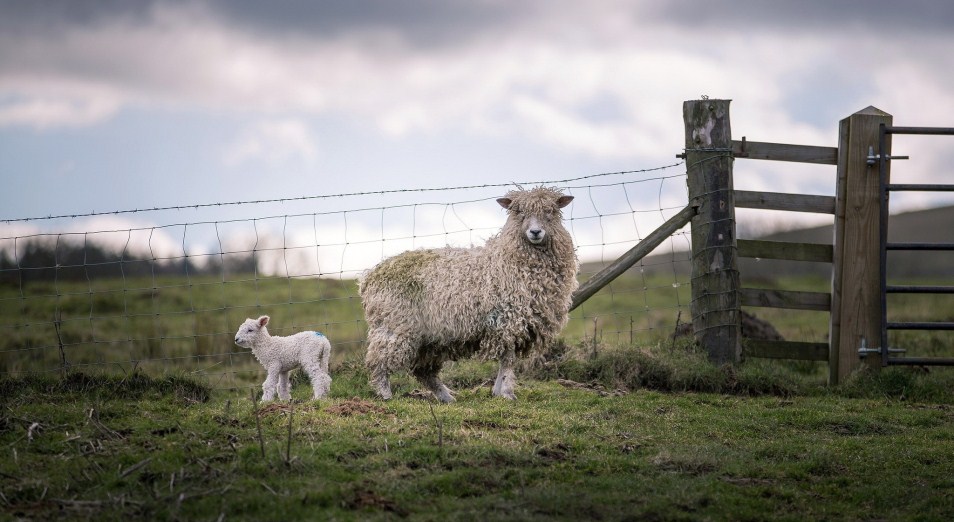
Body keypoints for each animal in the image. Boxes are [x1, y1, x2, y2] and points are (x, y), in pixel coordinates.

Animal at [358, 185, 576, 400]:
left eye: (550, 211)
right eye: (518, 211)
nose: (535, 232)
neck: (510, 260)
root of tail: (369, 277)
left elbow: (506, 359)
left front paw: (498, 391)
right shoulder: (508, 319)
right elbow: (508, 359)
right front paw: (506, 392)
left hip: (428, 338)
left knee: (423, 371)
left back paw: (446, 397)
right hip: (394, 324)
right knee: (379, 360)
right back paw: (385, 394)